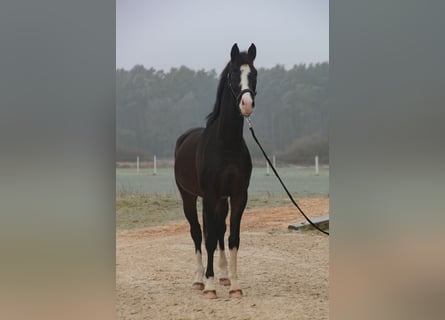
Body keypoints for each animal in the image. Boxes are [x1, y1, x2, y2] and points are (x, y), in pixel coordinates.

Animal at [173, 43, 256, 298]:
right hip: (189, 197)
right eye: (233, 74)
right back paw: (199, 280)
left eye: (254, 74)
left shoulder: (237, 196)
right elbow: (207, 240)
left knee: (219, 230)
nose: (246, 104)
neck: (226, 144)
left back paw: (224, 275)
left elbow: (232, 237)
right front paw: (209, 287)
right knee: (197, 233)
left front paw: (235, 285)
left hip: (221, 200)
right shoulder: (209, 195)